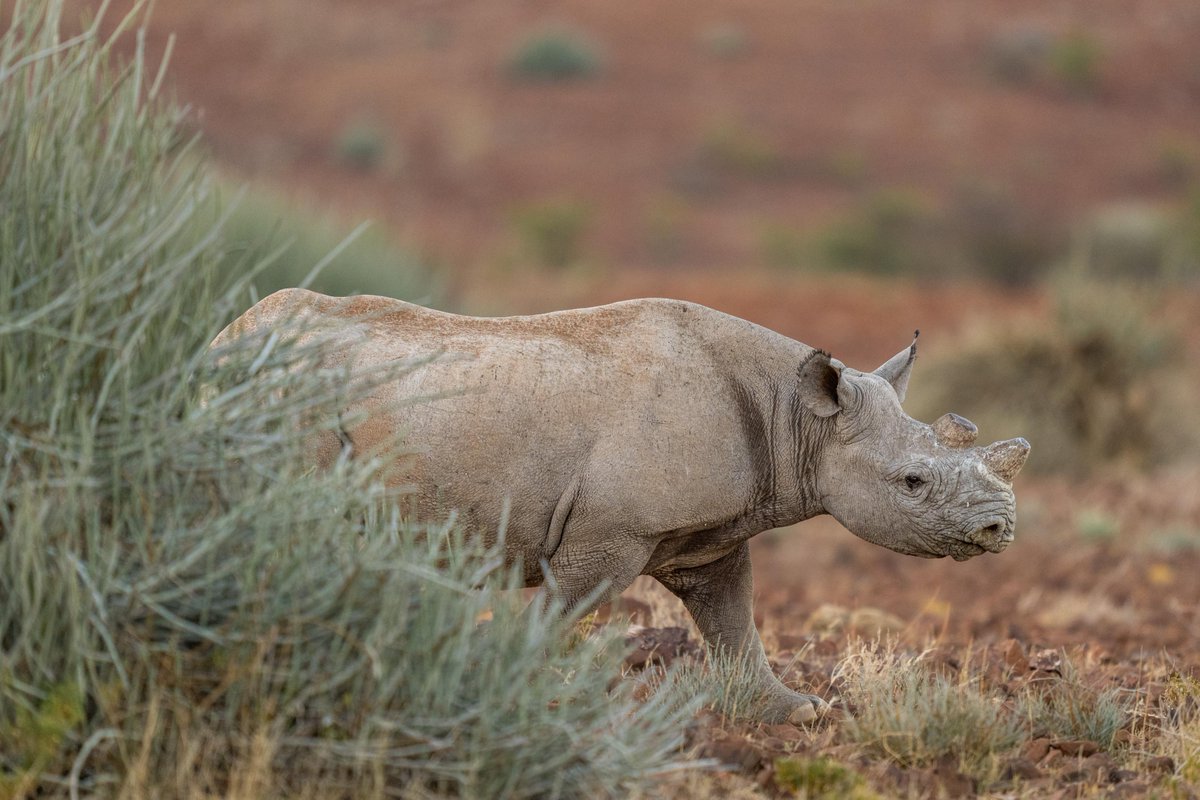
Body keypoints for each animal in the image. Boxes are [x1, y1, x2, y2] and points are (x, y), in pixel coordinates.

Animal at [210, 288, 1030, 723]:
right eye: (912, 483)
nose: (1001, 528)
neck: (797, 415)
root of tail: (228, 332)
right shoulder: (608, 534)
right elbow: (560, 617)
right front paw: (517, 692)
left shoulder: (707, 539)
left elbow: (735, 621)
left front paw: (792, 711)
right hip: (277, 399)